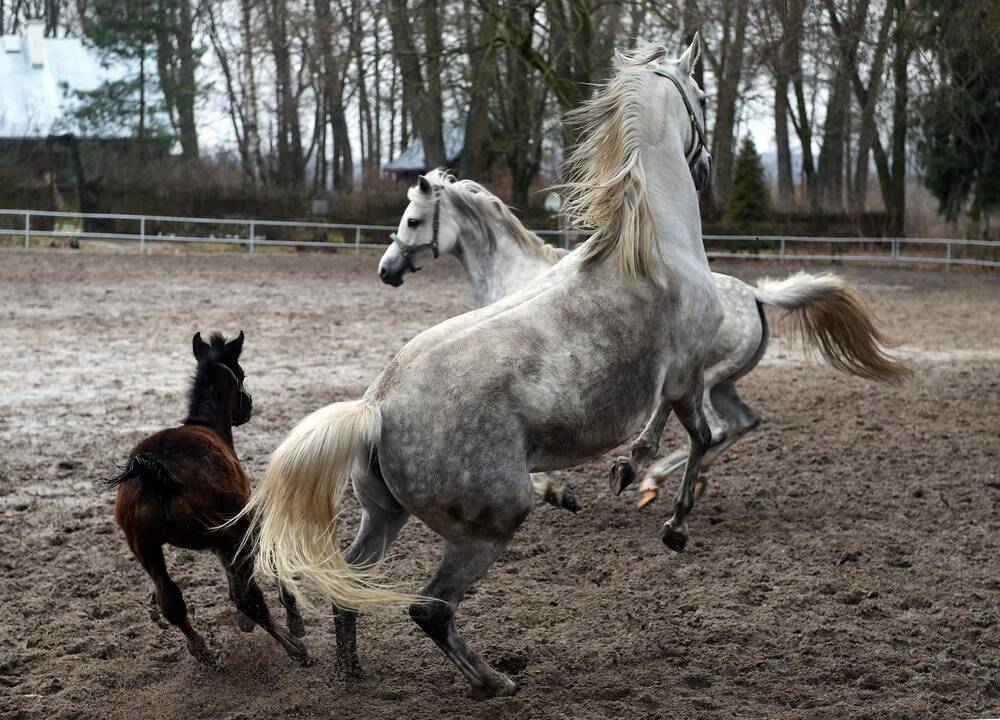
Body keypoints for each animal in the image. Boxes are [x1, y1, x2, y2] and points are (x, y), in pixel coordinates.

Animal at [105, 334, 308, 668]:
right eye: (242, 373)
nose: (248, 405)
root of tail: (155, 471)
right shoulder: (242, 523)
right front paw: (293, 619)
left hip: (144, 546)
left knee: (172, 601)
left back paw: (202, 650)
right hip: (228, 532)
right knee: (246, 596)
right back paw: (294, 647)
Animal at [242, 38, 728, 696]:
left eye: (412, 220)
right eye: (702, 94)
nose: (707, 169)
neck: (654, 249)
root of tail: (376, 406)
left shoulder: (674, 382)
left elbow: (671, 435)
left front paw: (632, 472)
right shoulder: (685, 376)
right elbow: (701, 437)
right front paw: (673, 524)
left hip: (383, 516)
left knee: (346, 583)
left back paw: (353, 672)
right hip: (492, 524)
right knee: (429, 607)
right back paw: (494, 681)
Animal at [378, 169, 912, 506]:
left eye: (412, 220)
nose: (386, 270)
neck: (519, 277)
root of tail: (757, 296)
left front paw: (557, 491)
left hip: (700, 380)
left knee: (714, 429)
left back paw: (652, 478)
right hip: (723, 382)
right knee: (742, 423)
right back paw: (676, 480)